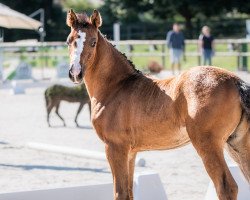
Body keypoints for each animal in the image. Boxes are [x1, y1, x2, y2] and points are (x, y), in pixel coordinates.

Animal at [65, 9, 249, 200]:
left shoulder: (115, 147)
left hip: (208, 144)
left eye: (93, 42)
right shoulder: (130, 152)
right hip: (238, 144)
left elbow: (120, 193)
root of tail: (235, 81)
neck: (116, 86)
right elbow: (129, 192)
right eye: (68, 41)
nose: (75, 73)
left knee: (226, 187)